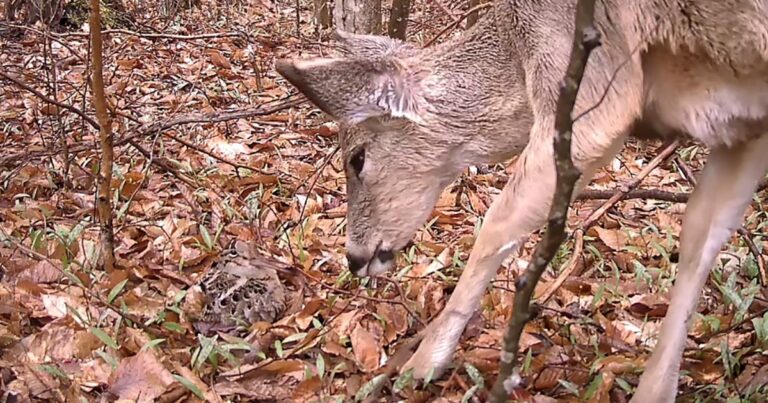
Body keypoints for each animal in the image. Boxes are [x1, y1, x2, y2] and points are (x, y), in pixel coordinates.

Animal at [275, 1, 768, 401]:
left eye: (357, 158)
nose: (355, 257)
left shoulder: (594, 90)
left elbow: (496, 220)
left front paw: (421, 363)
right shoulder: (745, 126)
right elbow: (700, 235)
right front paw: (656, 391)